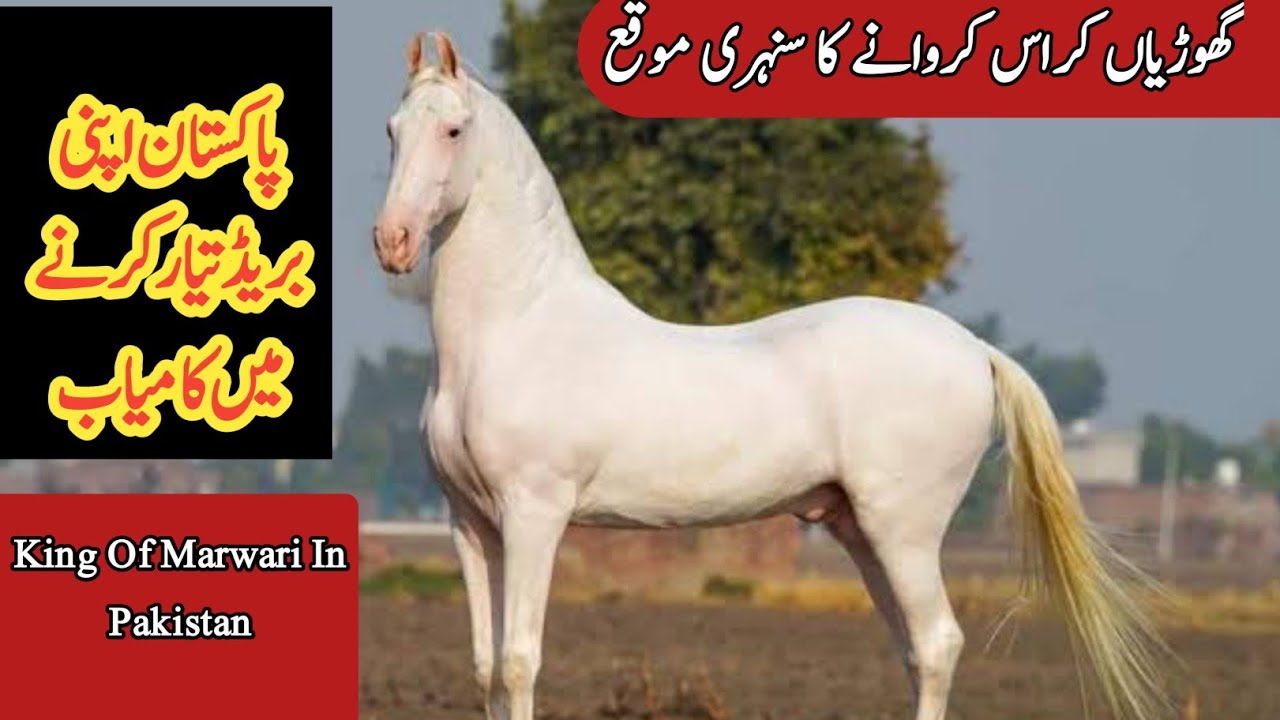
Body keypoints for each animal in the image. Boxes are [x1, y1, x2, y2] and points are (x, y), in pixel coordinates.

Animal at [372, 31, 1174, 720]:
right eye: (391, 130)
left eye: (453, 131)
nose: (393, 241)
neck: (520, 326)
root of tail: (976, 349)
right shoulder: (471, 523)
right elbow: (487, 668)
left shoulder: (535, 515)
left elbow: (518, 663)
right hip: (859, 530)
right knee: (915, 652)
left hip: (904, 529)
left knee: (939, 643)